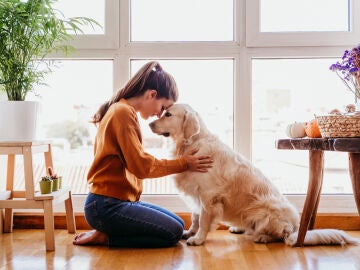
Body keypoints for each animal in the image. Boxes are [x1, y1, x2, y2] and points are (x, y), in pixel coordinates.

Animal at [149, 104, 358, 247]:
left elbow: (204, 220)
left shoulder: (208, 196)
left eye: (168, 114)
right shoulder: (196, 193)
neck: (191, 143)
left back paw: (262, 237)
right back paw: (239, 228)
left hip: (266, 212)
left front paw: (198, 239)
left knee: (281, 236)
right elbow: (195, 217)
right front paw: (189, 232)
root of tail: (296, 228)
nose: (149, 123)